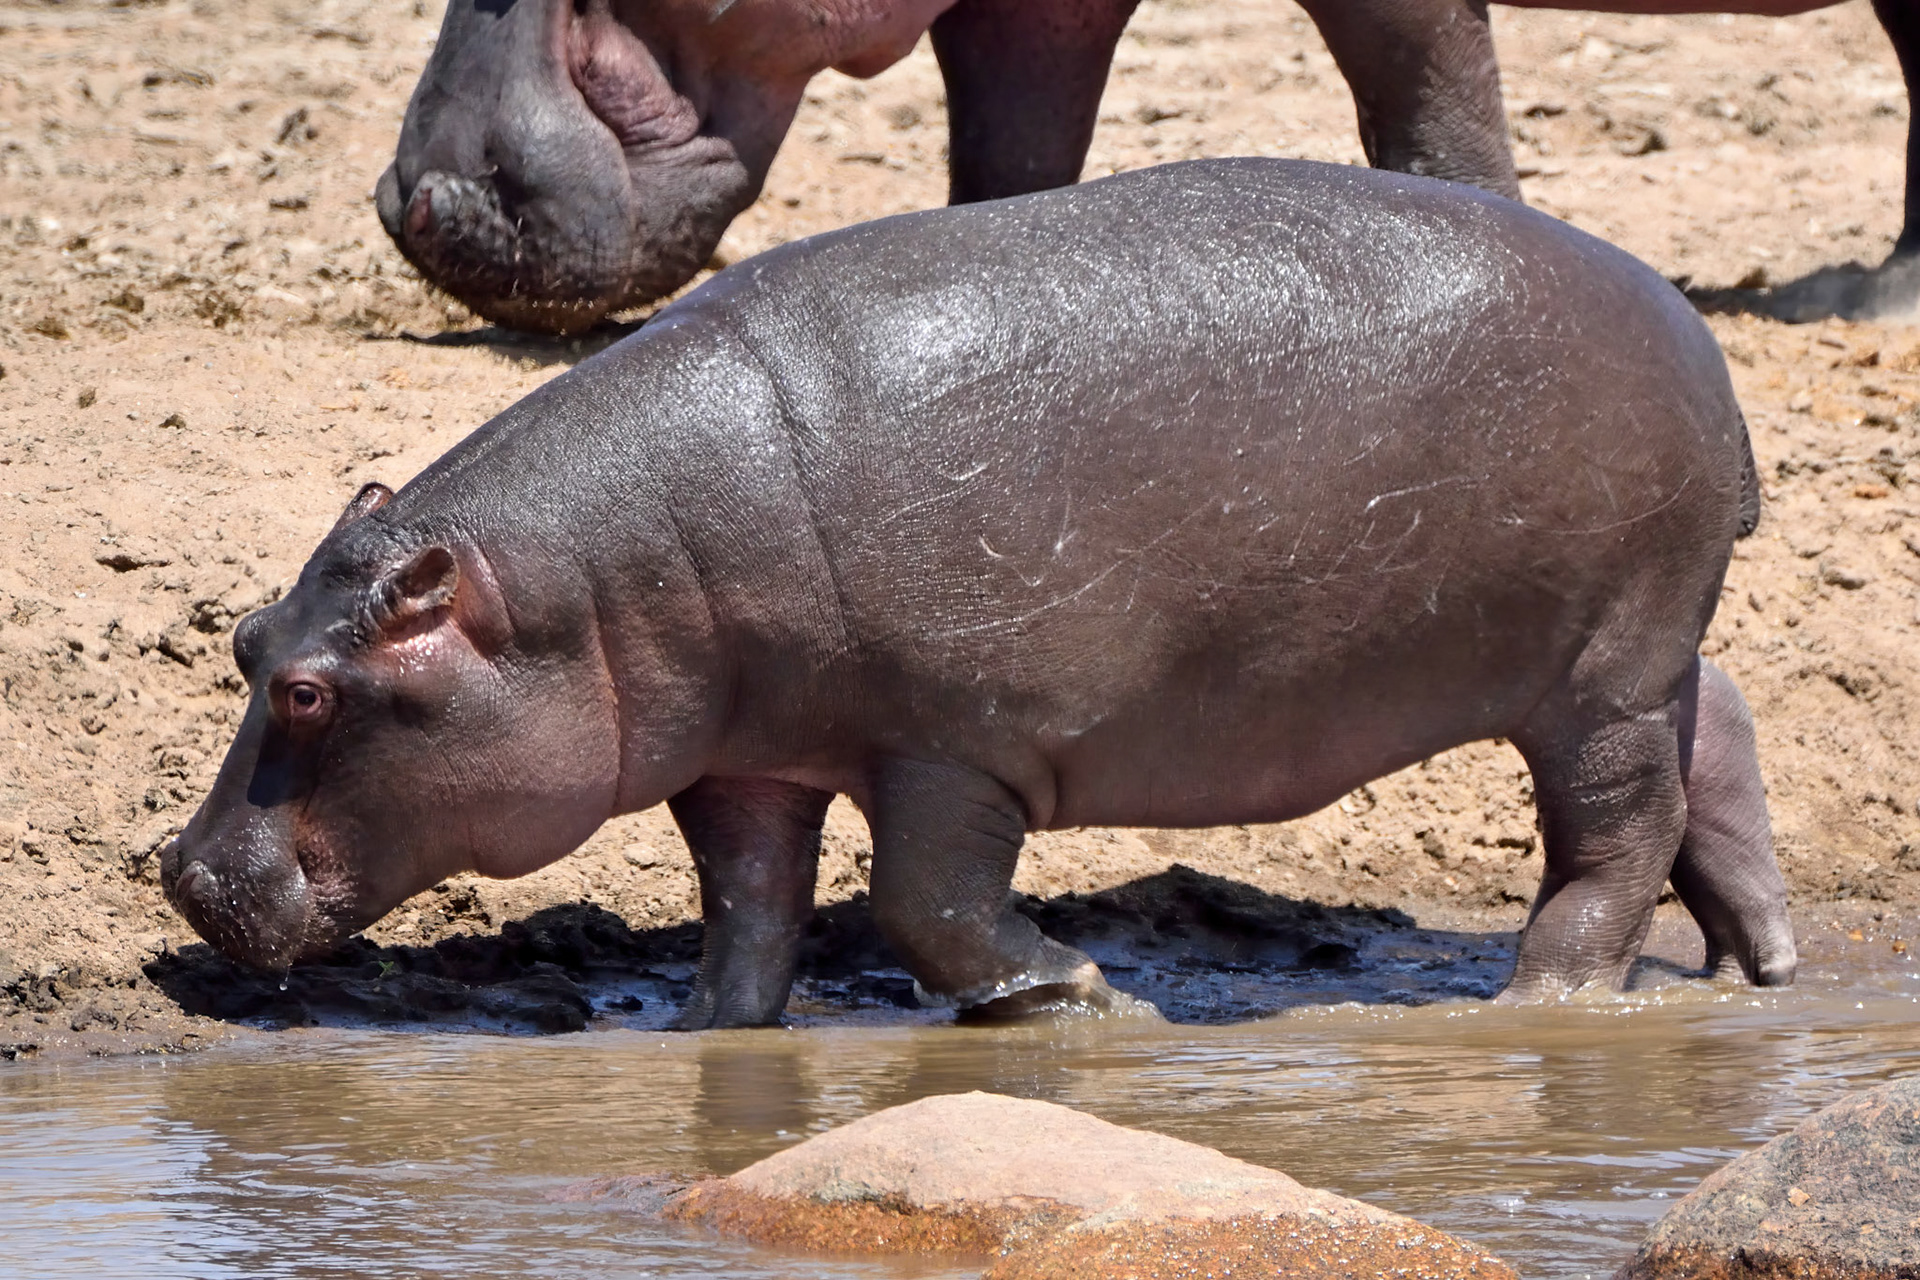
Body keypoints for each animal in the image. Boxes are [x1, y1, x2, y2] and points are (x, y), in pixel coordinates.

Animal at [175, 158, 1797, 1027]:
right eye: (246, 639)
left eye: (310, 688)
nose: (180, 875)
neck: (581, 586)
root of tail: (1694, 330)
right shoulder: (746, 757)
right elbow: (748, 906)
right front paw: (710, 1034)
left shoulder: (953, 742)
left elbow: (925, 904)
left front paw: (1087, 1000)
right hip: (1639, 651)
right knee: (1718, 731)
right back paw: (1754, 966)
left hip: (1599, 668)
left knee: (1615, 830)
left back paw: (1544, 1002)